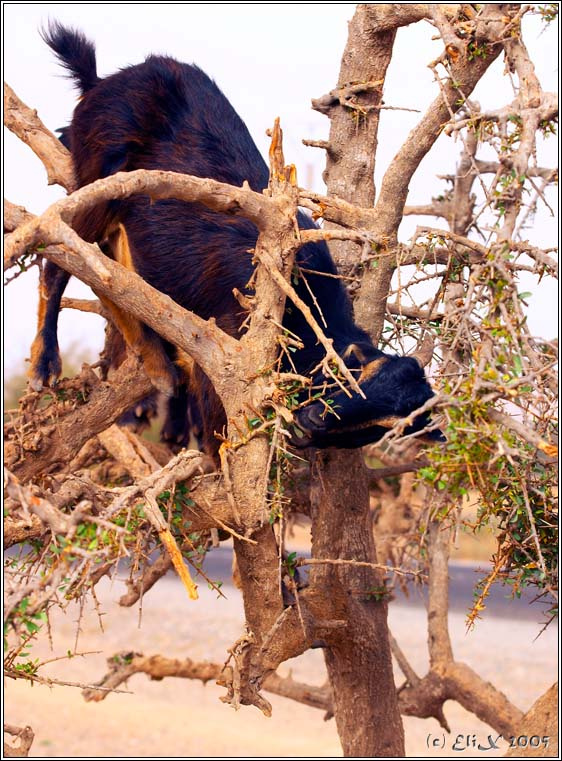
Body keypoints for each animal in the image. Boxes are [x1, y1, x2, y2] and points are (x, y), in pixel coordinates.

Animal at [30, 23, 443, 457]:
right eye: (354, 379)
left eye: (378, 429)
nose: (313, 421)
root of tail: (100, 81)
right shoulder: (228, 348)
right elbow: (218, 427)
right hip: (100, 180)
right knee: (63, 259)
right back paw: (47, 365)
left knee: (116, 278)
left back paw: (157, 372)